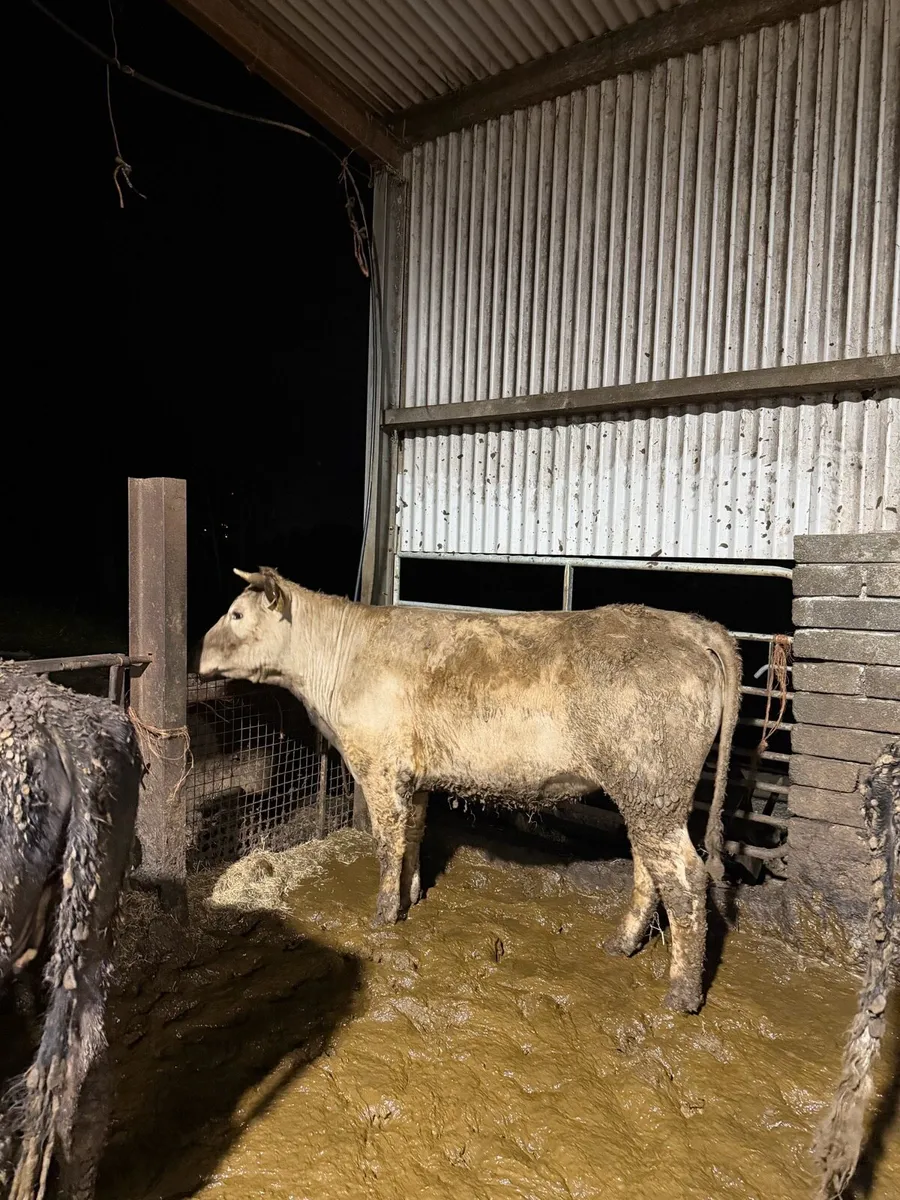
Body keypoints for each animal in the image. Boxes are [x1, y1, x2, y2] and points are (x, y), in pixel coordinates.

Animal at [197, 566, 741, 1015]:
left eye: (237, 613)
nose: (199, 654)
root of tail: (692, 626)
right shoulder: (413, 775)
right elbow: (413, 834)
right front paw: (411, 896)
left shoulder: (378, 765)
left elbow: (387, 841)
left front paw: (383, 914)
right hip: (646, 792)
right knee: (650, 867)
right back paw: (623, 944)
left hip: (654, 784)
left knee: (685, 879)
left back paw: (681, 994)